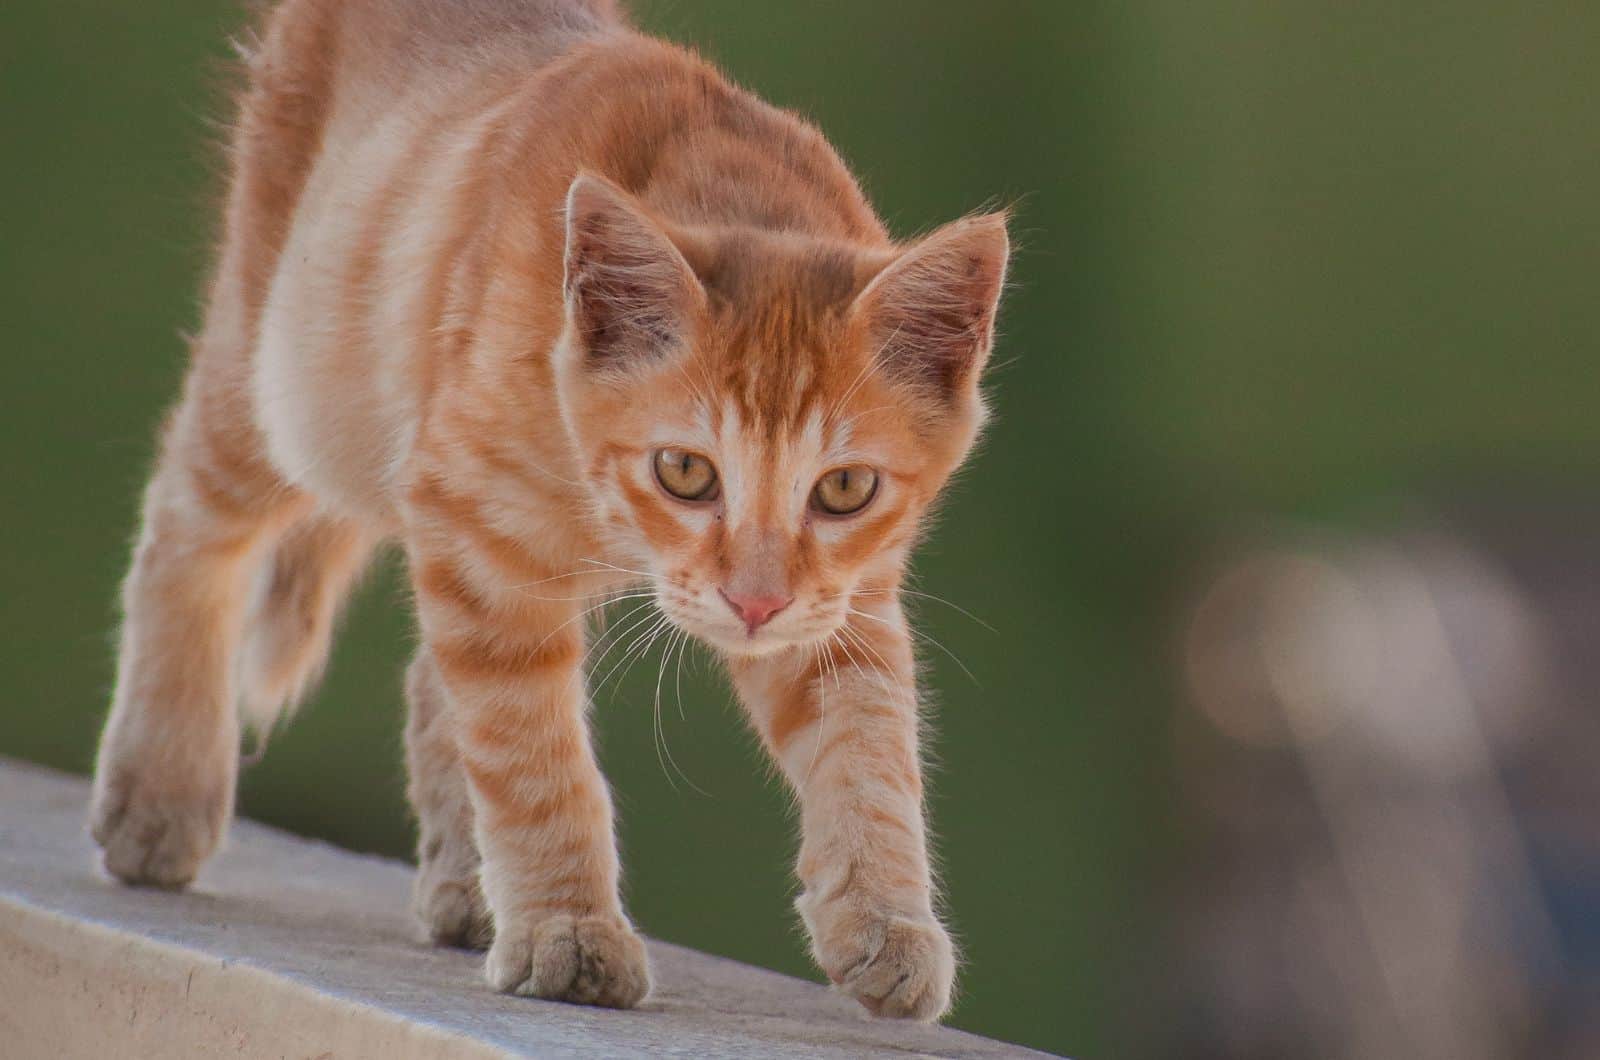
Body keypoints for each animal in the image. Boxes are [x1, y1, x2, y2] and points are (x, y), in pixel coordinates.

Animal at [87, 0, 1004, 1024]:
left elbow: (867, 745)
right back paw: (160, 787)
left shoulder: (841, 600)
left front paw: (884, 919)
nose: (753, 604)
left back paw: (465, 884)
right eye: (686, 471)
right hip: (289, 376)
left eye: (845, 488)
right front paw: (570, 929)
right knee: (187, 517)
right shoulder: (482, 536)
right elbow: (533, 755)